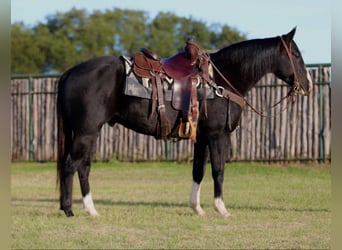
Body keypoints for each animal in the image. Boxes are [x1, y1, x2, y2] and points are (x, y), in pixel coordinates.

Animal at [56, 28, 312, 217]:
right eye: (296, 55)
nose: (308, 84)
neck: (221, 81)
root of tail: (69, 73)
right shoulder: (218, 135)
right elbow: (218, 170)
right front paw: (221, 208)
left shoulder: (202, 137)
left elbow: (198, 170)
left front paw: (197, 208)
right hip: (86, 132)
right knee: (70, 165)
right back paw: (68, 209)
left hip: (91, 133)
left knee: (83, 167)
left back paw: (91, 210)